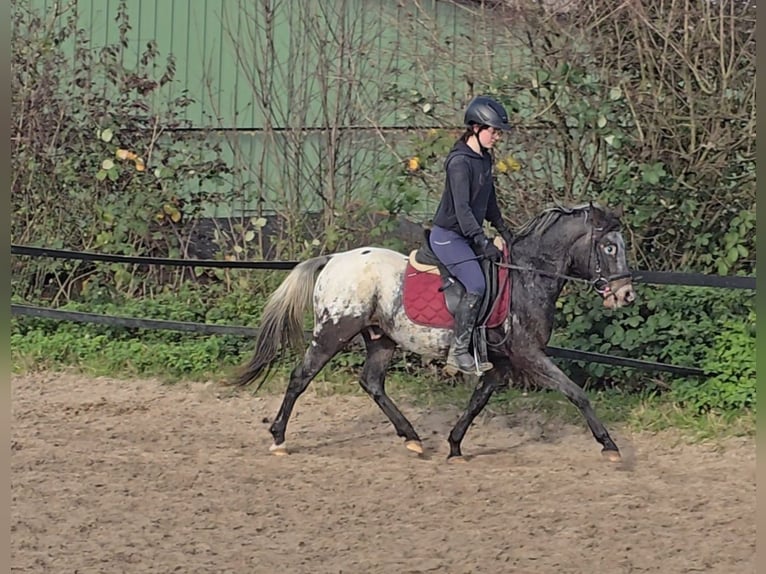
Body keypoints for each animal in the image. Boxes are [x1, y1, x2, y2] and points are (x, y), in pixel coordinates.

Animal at [231, 202, 640, 464]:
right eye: (608, 247)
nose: (625, 294)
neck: (526, 276)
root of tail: (333, 259)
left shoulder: (501, 363)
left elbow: (477, 401)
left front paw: (455, 446)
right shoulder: (528, 355)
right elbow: (576, 393)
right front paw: (609, 445)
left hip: (381, 339)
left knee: (372, 382)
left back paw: (412, 438)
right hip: (334, 332)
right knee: (301, 377)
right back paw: (279, 438)